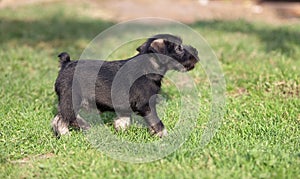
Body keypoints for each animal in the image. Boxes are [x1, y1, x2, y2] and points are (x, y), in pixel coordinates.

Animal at [51, 33, 199, 137]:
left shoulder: (125, 105)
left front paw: (121, 130)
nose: (196, 52)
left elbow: (124, 119)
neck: (148, 66)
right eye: (179, 48)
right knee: (65, 117)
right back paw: (73, 131)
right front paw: (165, 136)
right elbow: (157, 122)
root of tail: (66, 64)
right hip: (72, 98)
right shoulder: (146, 105)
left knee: (59, 117)